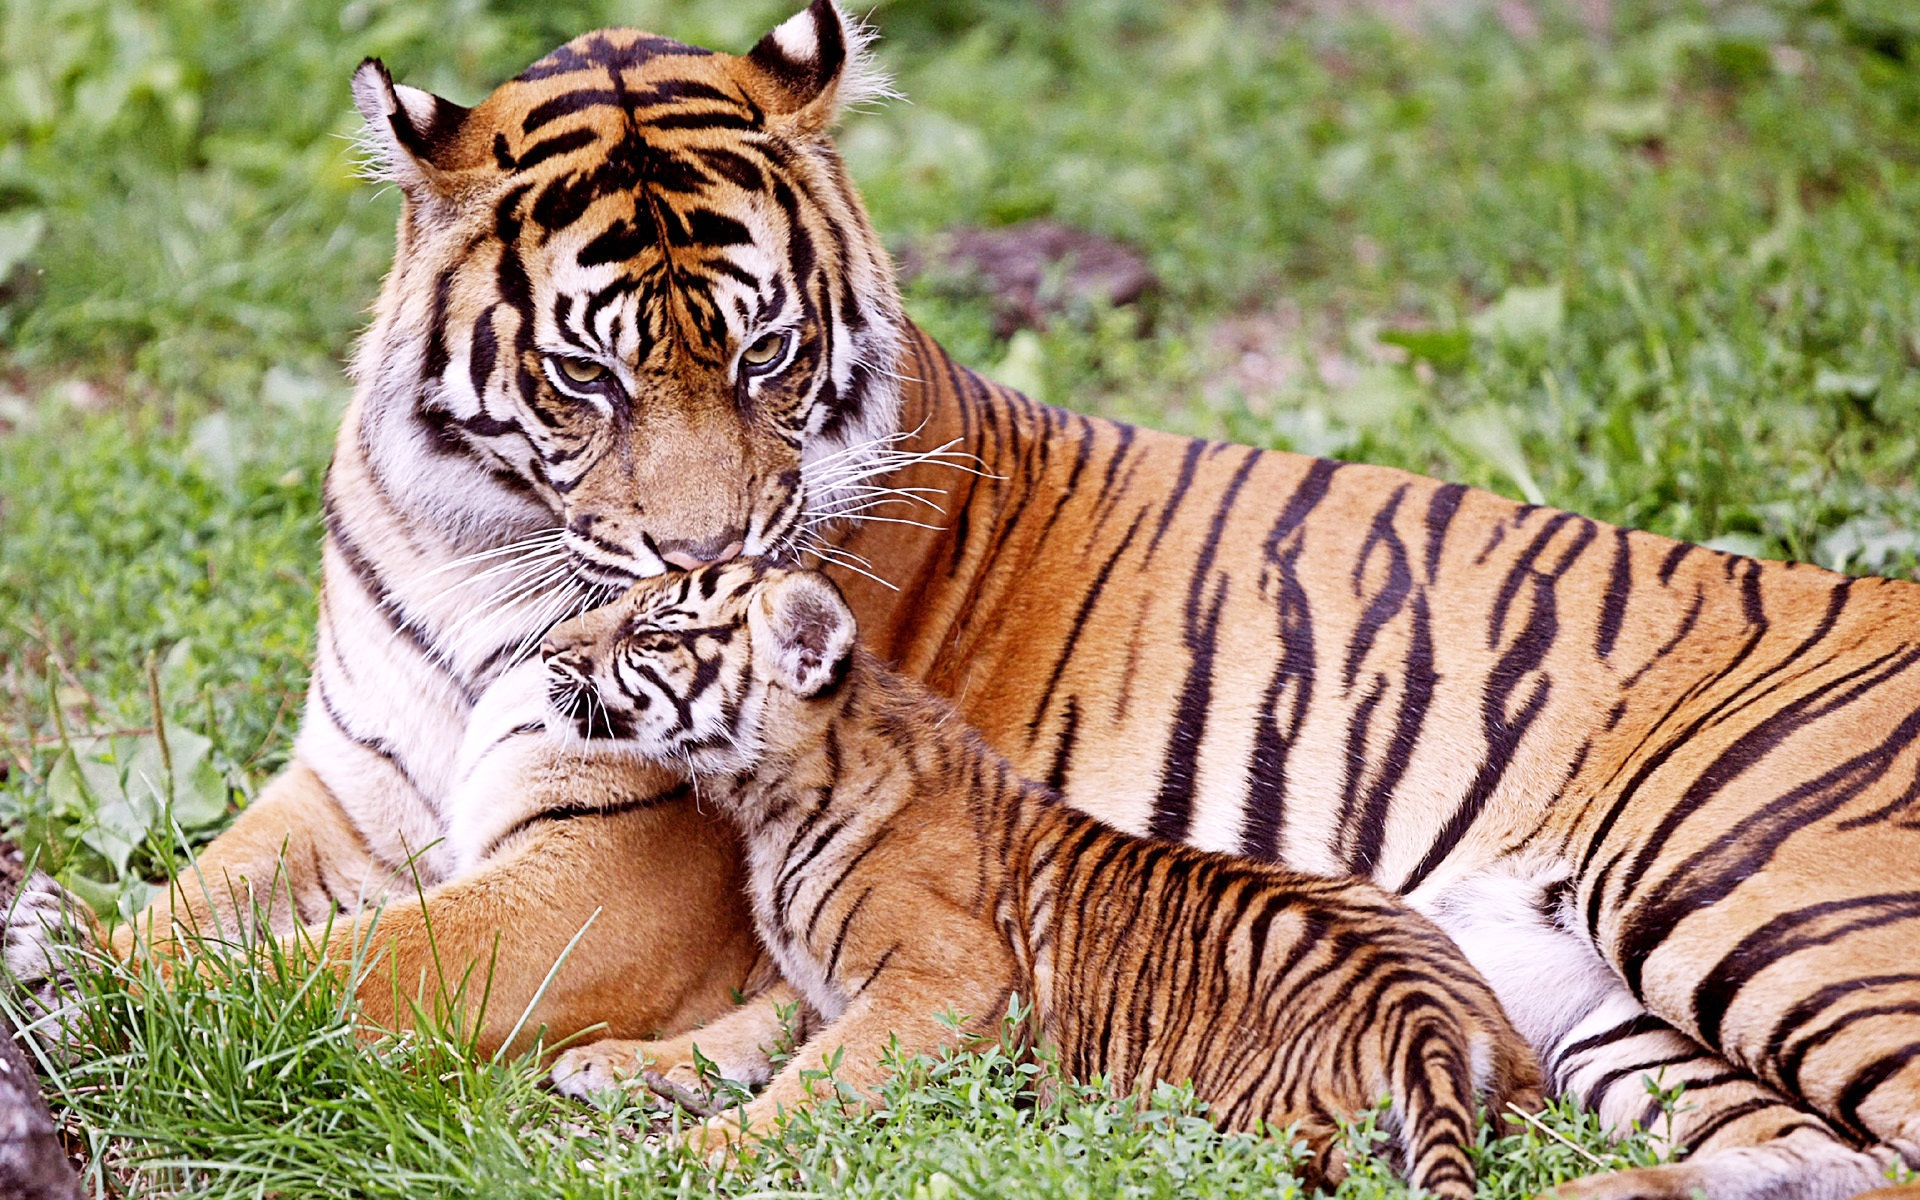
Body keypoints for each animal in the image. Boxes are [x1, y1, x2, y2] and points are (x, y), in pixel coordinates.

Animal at [15, 4, 1920, 1190]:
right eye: (586, 376)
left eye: (766, 353)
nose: (710, 561)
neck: (474, 547)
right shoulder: (349, 780)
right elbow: (195, 908)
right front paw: (69, 941)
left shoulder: (618, 866)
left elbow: (333, 971)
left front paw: (84, 1013)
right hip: (1622, 1022)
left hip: (1756, 896)